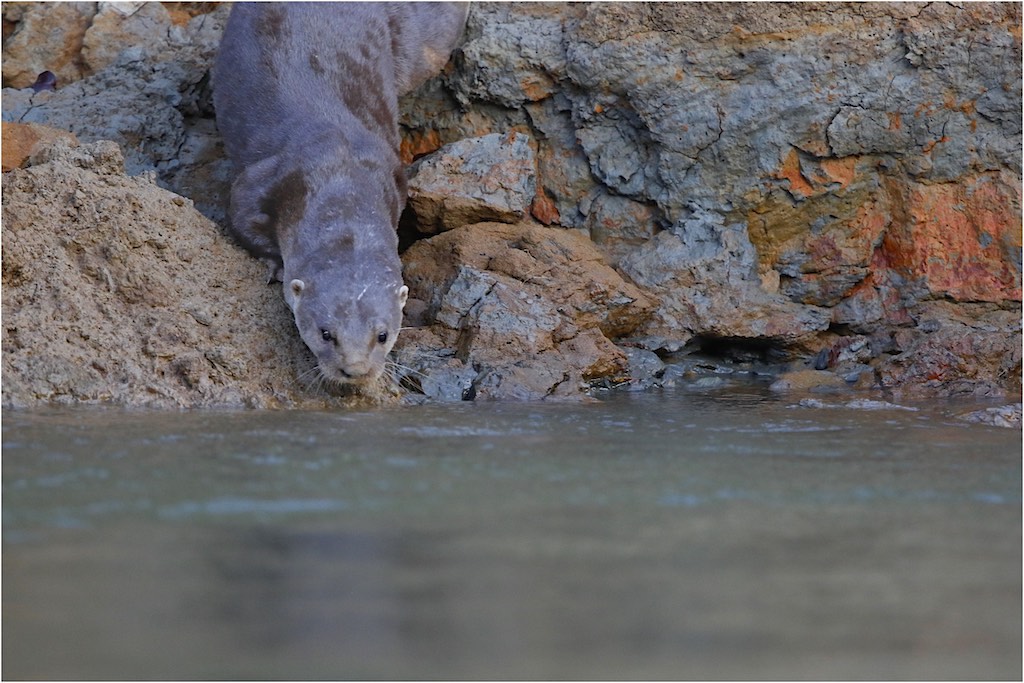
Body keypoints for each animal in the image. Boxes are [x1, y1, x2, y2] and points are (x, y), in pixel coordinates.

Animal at [212, 3, 468, 389]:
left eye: (383, 334)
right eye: (325, 333)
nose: (356, 370)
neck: (340, 172)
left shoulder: (393, 179)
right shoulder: (269, 178)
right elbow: (240, 216)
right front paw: (274, 264)